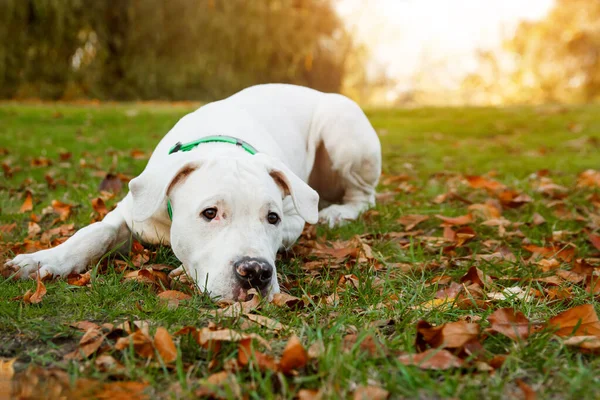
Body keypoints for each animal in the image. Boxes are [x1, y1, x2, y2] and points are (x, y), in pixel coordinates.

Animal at [3, 84, 380, 300]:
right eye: (209, 213)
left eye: (271, 217)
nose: (256, 273)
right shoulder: (130, 212)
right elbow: (93, 234)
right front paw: (43, 260)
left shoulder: (294, 218)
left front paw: (184, 271)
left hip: (343, 131)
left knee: (363, 197)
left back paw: (338, 213)